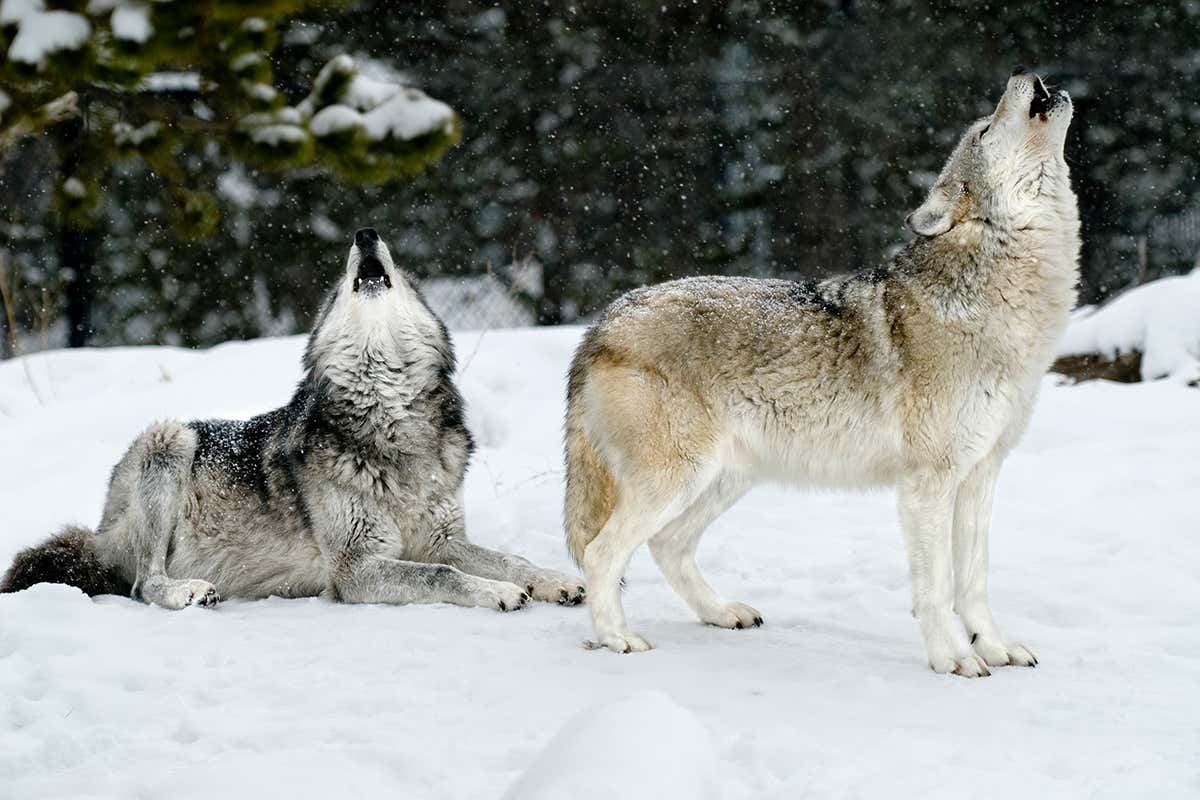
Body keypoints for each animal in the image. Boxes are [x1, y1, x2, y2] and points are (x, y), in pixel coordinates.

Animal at [2, 228, 585, 612]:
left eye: (400, 278)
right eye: (338, 287)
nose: (365, 233)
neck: (392, 420)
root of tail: (102, 529)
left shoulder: (438, 539)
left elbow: (509, 558)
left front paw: (552, 579)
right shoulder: (356, 568)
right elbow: (446, 576)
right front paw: (501, 593)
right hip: (169, 439)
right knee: (143, 583)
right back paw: (189, 591)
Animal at [563, 68, 1078, 676]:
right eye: (983, 129)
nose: (1028, 74)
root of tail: (604, 321)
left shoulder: (981, 474)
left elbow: (973, 581)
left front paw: (994, 648)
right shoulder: (927, 482)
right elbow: (936, 588)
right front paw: (952, 659)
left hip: (723, 479)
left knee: (667, 545)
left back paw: (720, 613)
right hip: (677, 478)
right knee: (602, 552)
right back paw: (617, 638)